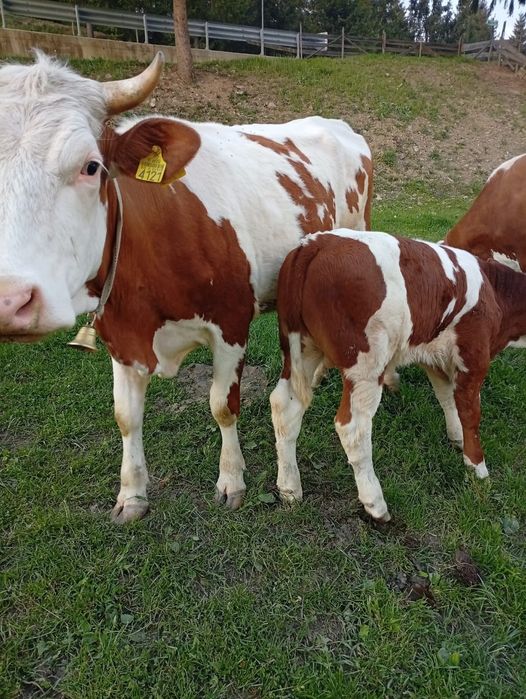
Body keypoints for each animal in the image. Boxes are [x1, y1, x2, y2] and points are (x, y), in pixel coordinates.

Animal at [0, 52, 373, 522]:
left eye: (91, 166)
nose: (10, 301)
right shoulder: (119, 332)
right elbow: (126, 416)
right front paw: (132, 494)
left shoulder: (231, 323)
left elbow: (222, 406)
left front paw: (231, 481)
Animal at [270, 230, 526, 522]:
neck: (495, 291)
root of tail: (317, 243)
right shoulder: (474, 356)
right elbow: (471, 412)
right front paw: (477, 468)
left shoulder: (433, 355)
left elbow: (447, 398)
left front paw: (456, 436)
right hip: (365, 366)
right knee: (353, 428)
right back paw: (375, 503)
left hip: (302, 350)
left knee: (284, 408)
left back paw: (290, 488)